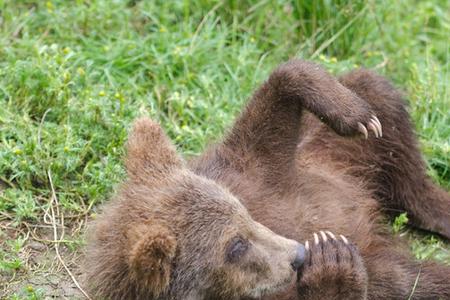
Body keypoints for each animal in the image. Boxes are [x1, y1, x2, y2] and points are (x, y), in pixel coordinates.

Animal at [85, 59, 450, 298]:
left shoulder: (255, 172)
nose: (300, 254)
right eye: (235, 247)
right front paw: (332, 266)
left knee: (381, 102)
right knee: (421, 280)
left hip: (333, 150)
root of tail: (378, 233)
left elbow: (272, 112)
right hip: (387, 265)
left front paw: (352, 113)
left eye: (243, 212)